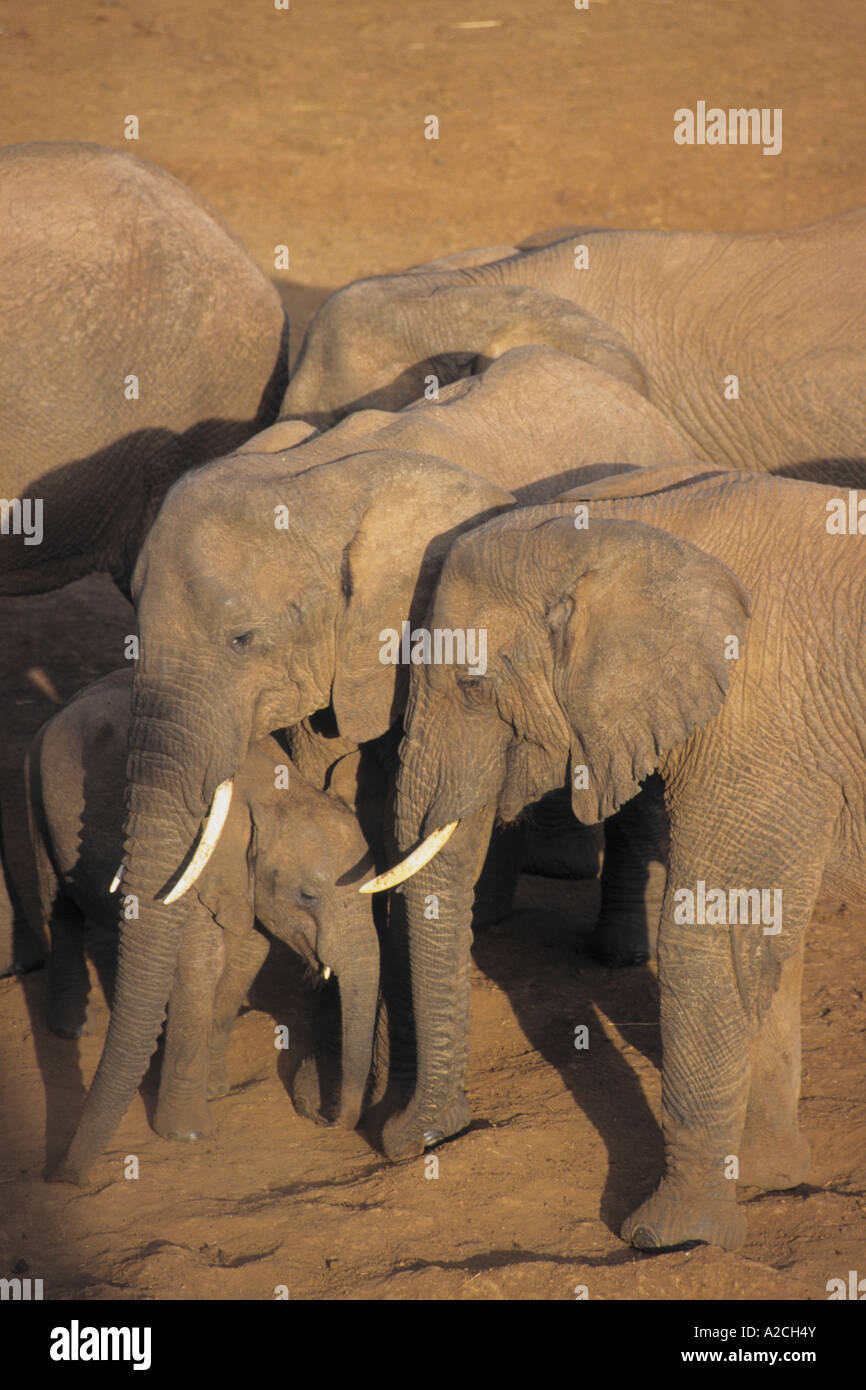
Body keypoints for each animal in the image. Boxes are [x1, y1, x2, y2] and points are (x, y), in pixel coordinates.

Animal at [27, 664, 378, 1173]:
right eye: (308, 896)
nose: (325, 1116)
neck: (278, 792)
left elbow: (245, 958)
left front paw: (216, 1091)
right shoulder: (192, 863)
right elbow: (200, 966)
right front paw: (186, 1134)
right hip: (36, 792)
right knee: (60, 906)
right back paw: (72, 1028)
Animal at [366, 464, 866, 1251]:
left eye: (473, 688)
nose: (409, 1139)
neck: (623, 524)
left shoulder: (759, 724)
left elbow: (709, 934)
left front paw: (674, 1237)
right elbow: (766, 935)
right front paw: (768, 1175)